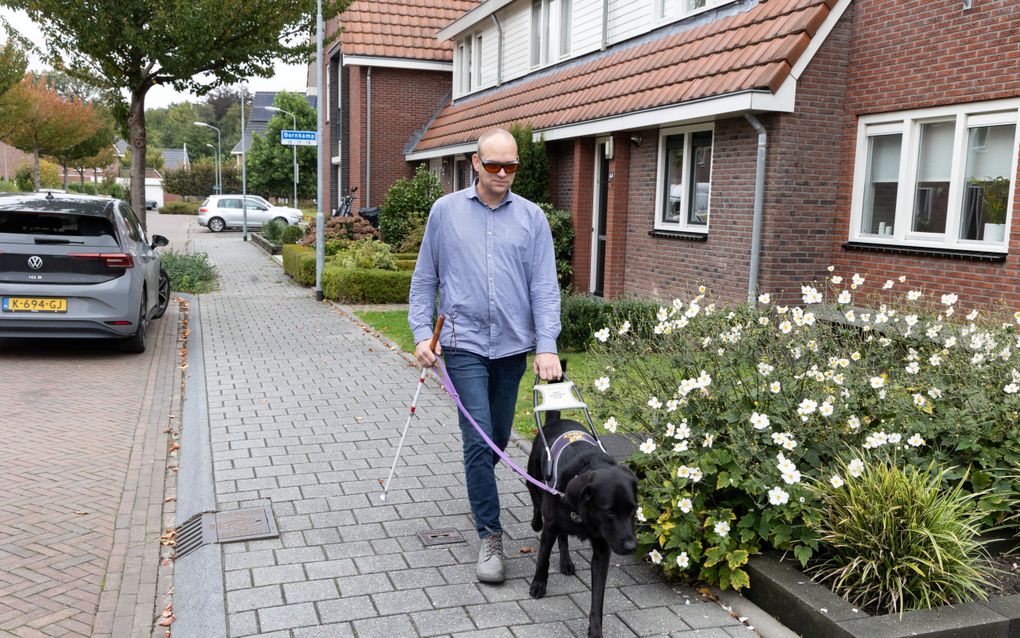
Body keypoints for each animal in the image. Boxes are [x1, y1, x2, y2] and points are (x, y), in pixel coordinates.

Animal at [526, 365, 636, 636]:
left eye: (633, 511)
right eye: (609, 511)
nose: (631, 547)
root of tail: (556, 420)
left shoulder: (603, 548)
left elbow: (598, 597)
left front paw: (595, 629)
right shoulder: (551, 525)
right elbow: (543, 558)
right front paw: (538, 584)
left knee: (564, 538)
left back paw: (566, 562)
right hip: (533, 478)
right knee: (536, 503)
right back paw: (536, 522)